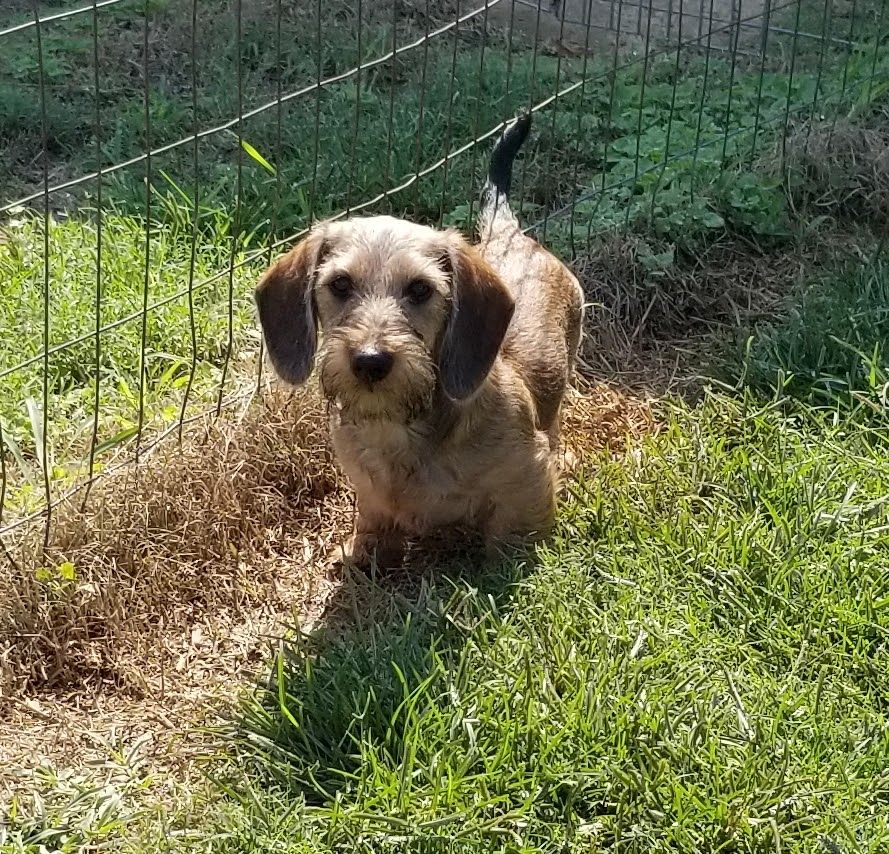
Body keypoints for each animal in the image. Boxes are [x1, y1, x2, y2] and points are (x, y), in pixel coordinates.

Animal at [255, 113, 584, 568]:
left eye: (420, 289)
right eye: (340, 284)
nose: (370, 361)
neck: (401, 429)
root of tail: (511, 236)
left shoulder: (526, 475)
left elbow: (513, 533)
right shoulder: (369, 489)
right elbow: (374, 520)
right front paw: (362, 553)